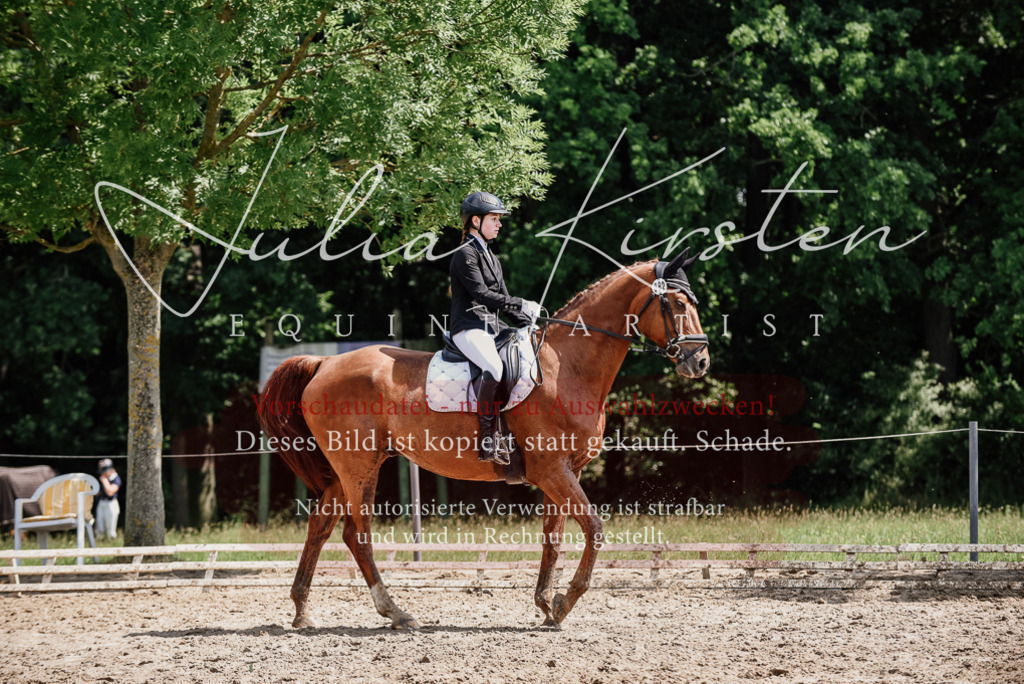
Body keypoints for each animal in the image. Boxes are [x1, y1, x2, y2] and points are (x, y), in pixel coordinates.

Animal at [258, 250, 710, 630]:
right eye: (679, 305)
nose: (700, 361)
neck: (567, 366)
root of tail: (323, 363)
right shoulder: (551, 470)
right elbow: (594, 528)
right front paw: (565, 602)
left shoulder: (565, 471)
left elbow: (553, 536)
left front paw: (546, 605)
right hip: (359, 468)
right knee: (358, 534)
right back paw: (397, 613)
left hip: (346, 469)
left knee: (320, 525)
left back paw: (302, 611)